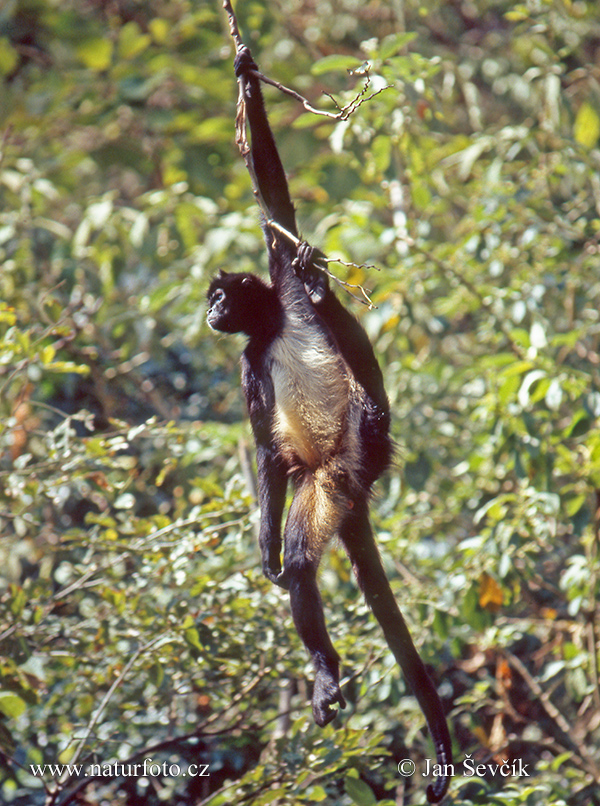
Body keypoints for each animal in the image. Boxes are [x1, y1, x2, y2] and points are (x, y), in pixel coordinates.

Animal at [209, 45, 452, 800]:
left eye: (222, 295)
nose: (211, 313)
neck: (270, 325)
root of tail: (351, 480)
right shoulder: (248, 361)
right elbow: (264, 448)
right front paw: (261, 551)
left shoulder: (277, 283)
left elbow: (274, 201)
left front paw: (246, 73)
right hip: (320, 484)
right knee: (301, 562)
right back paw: (323, 666)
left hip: (341, 470)